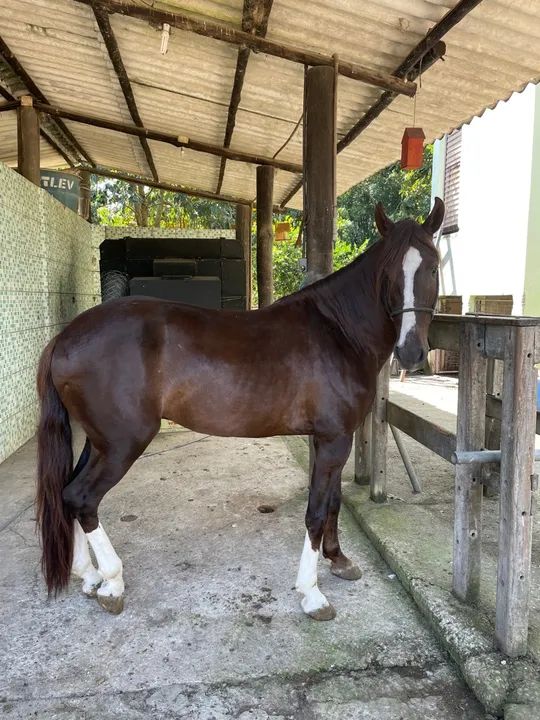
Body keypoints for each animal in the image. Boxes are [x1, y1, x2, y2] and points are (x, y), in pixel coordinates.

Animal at [36, 198, 444, 619]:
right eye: (388, 272)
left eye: (433, 266)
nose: (411, 352)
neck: (338, 331)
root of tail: (65, 338)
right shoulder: (334, 439)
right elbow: (316, 511)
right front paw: (312, 593)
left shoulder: (329, 438)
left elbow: (332, 501)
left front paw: (338, 560)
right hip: (121, 445)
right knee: (83, 498)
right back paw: (112, 582)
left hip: (98, 442)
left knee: (68, 493)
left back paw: (89, 576)